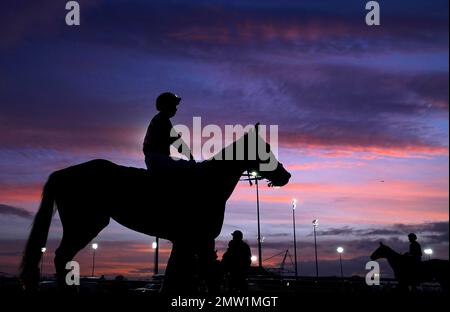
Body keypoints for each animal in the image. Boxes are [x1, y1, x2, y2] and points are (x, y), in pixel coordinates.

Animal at [20, 125, 292, 292]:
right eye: (265, 149)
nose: (286, 175)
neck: (207, 183)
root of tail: (62, 173)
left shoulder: (185, 241)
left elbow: (175, 276)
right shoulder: (200, 239)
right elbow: (206, 275)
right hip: (85, 224)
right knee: (61, 256)